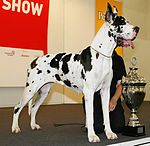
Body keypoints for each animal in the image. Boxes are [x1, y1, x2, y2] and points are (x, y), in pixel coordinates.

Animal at [11, 3, 139, 143]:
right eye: (122, 23)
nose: (137, 28)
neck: (102, 56)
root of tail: (34, 61)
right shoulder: (89, 92)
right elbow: (90, 116)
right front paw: (92, 136)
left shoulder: (105, 92)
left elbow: (106, 115)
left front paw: (109, 133)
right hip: (30, 89)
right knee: (17, 107)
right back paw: (15, 128)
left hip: (44, 91)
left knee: (34, 107)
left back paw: (33, 125)